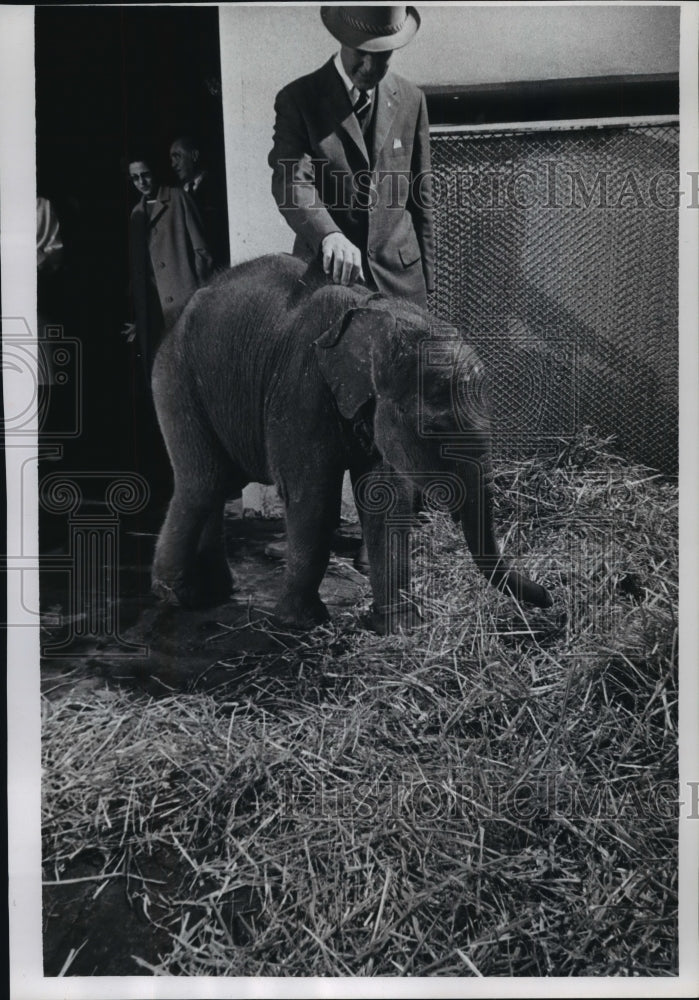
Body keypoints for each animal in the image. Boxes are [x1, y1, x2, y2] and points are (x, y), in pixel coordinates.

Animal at [150, 254, 548, 636]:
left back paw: (214, 591)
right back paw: (179, 594)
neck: (376, 316)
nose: (547, 596)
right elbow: (312, 497)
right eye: (436, 430)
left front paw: (400, 628)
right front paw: (302, 624)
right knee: (204, 484)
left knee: (217, 486)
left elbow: (384, 497)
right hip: (176, 378)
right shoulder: (301, 387)